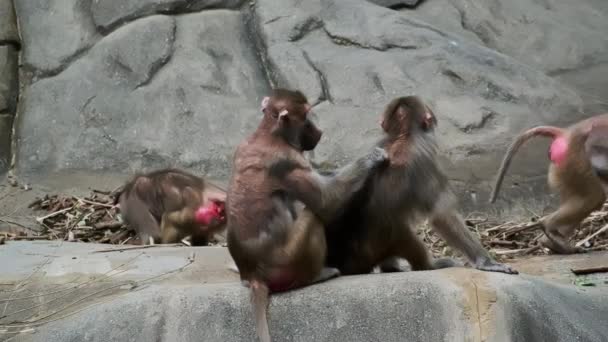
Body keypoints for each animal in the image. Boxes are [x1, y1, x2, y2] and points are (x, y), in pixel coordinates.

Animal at [226, 89, 388, 342]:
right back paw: (318, 274)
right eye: (306, 117)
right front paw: (372, 158)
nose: (319, 131)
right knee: (313, 217)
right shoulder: (290, 160)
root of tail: (254, 275)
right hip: (289, 262)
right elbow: (326, 201)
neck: (268, 132)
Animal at [270, 95, 516, 276]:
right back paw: (427, 265)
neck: (403, 136)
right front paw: (485, 261)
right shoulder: (425, 158)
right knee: (403, 231)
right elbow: (441, 215)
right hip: (382, 246)